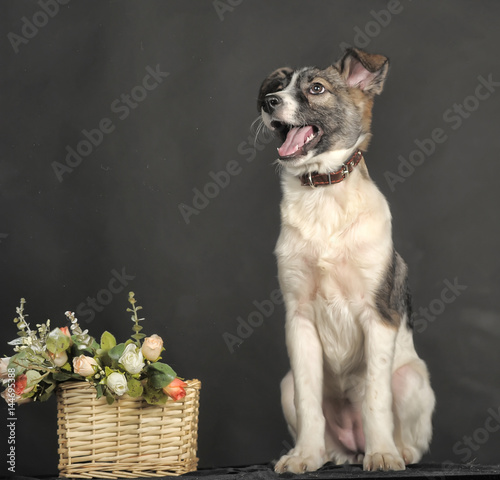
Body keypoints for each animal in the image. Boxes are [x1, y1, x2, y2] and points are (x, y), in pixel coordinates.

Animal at [256, 47, 436, 474]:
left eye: (316, 89)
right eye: (278, 86)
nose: (268, 102)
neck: (323, 193)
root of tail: (353, 445)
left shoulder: (379, 317)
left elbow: (376, 398)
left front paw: (383, 453)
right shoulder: (299, 319)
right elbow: (309, 401)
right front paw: (303, 455)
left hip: (412, 378)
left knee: (411, 434)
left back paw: (397, 450)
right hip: (285, 383)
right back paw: (325, 454)